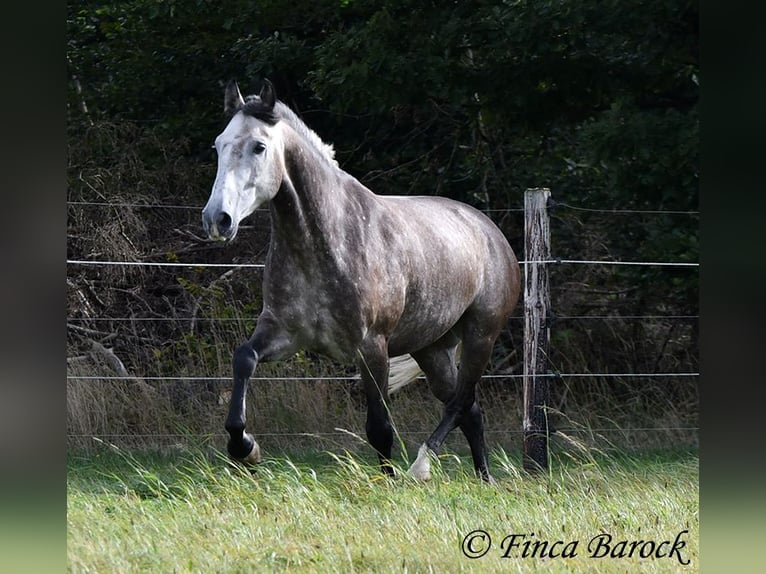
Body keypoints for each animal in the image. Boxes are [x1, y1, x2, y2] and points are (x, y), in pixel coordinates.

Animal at [202, 80, 520, 482]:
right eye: (218, 145)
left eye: (259, 146)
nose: (217, 220)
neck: (325, 241)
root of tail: (489, 230)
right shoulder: (282, 332)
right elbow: (244, 358)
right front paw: (245, 448)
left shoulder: (372, 347)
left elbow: (380, 428)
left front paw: (388, 481)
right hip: (432, 349)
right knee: (470, 410)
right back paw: (484, 477)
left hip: (482, 334)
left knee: (460, 403)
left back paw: (422, 467)